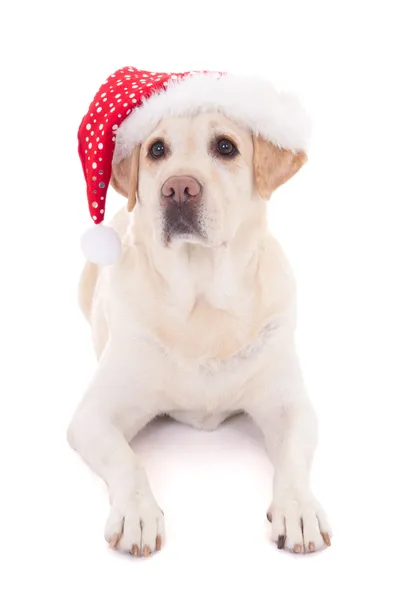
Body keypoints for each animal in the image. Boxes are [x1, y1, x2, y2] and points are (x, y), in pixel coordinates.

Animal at [68, 109, 332, 556]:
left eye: (226, 146)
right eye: (157, 149)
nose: (178, 188)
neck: (203, 304)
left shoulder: (291, 407)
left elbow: (295, 458)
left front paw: (298, 510)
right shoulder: (93, 416)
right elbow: (127, 460)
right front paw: (137, 513)